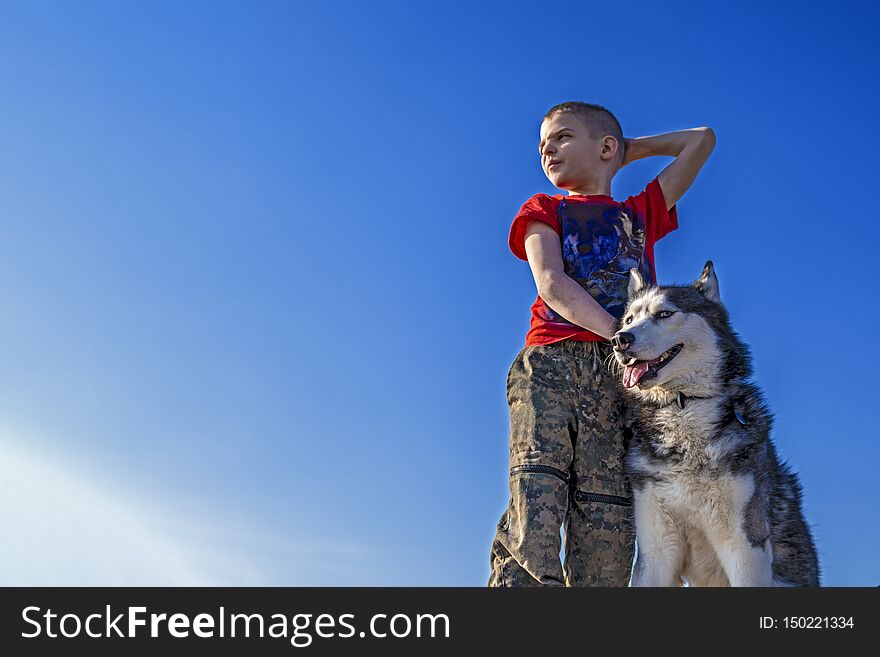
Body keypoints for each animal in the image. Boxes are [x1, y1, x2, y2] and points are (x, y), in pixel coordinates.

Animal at [608, 260, 820, 584]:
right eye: (629, 319)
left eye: (664, 314)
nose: (620, 339)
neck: (683, 407)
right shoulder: (656, 547)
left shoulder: (745, 545)